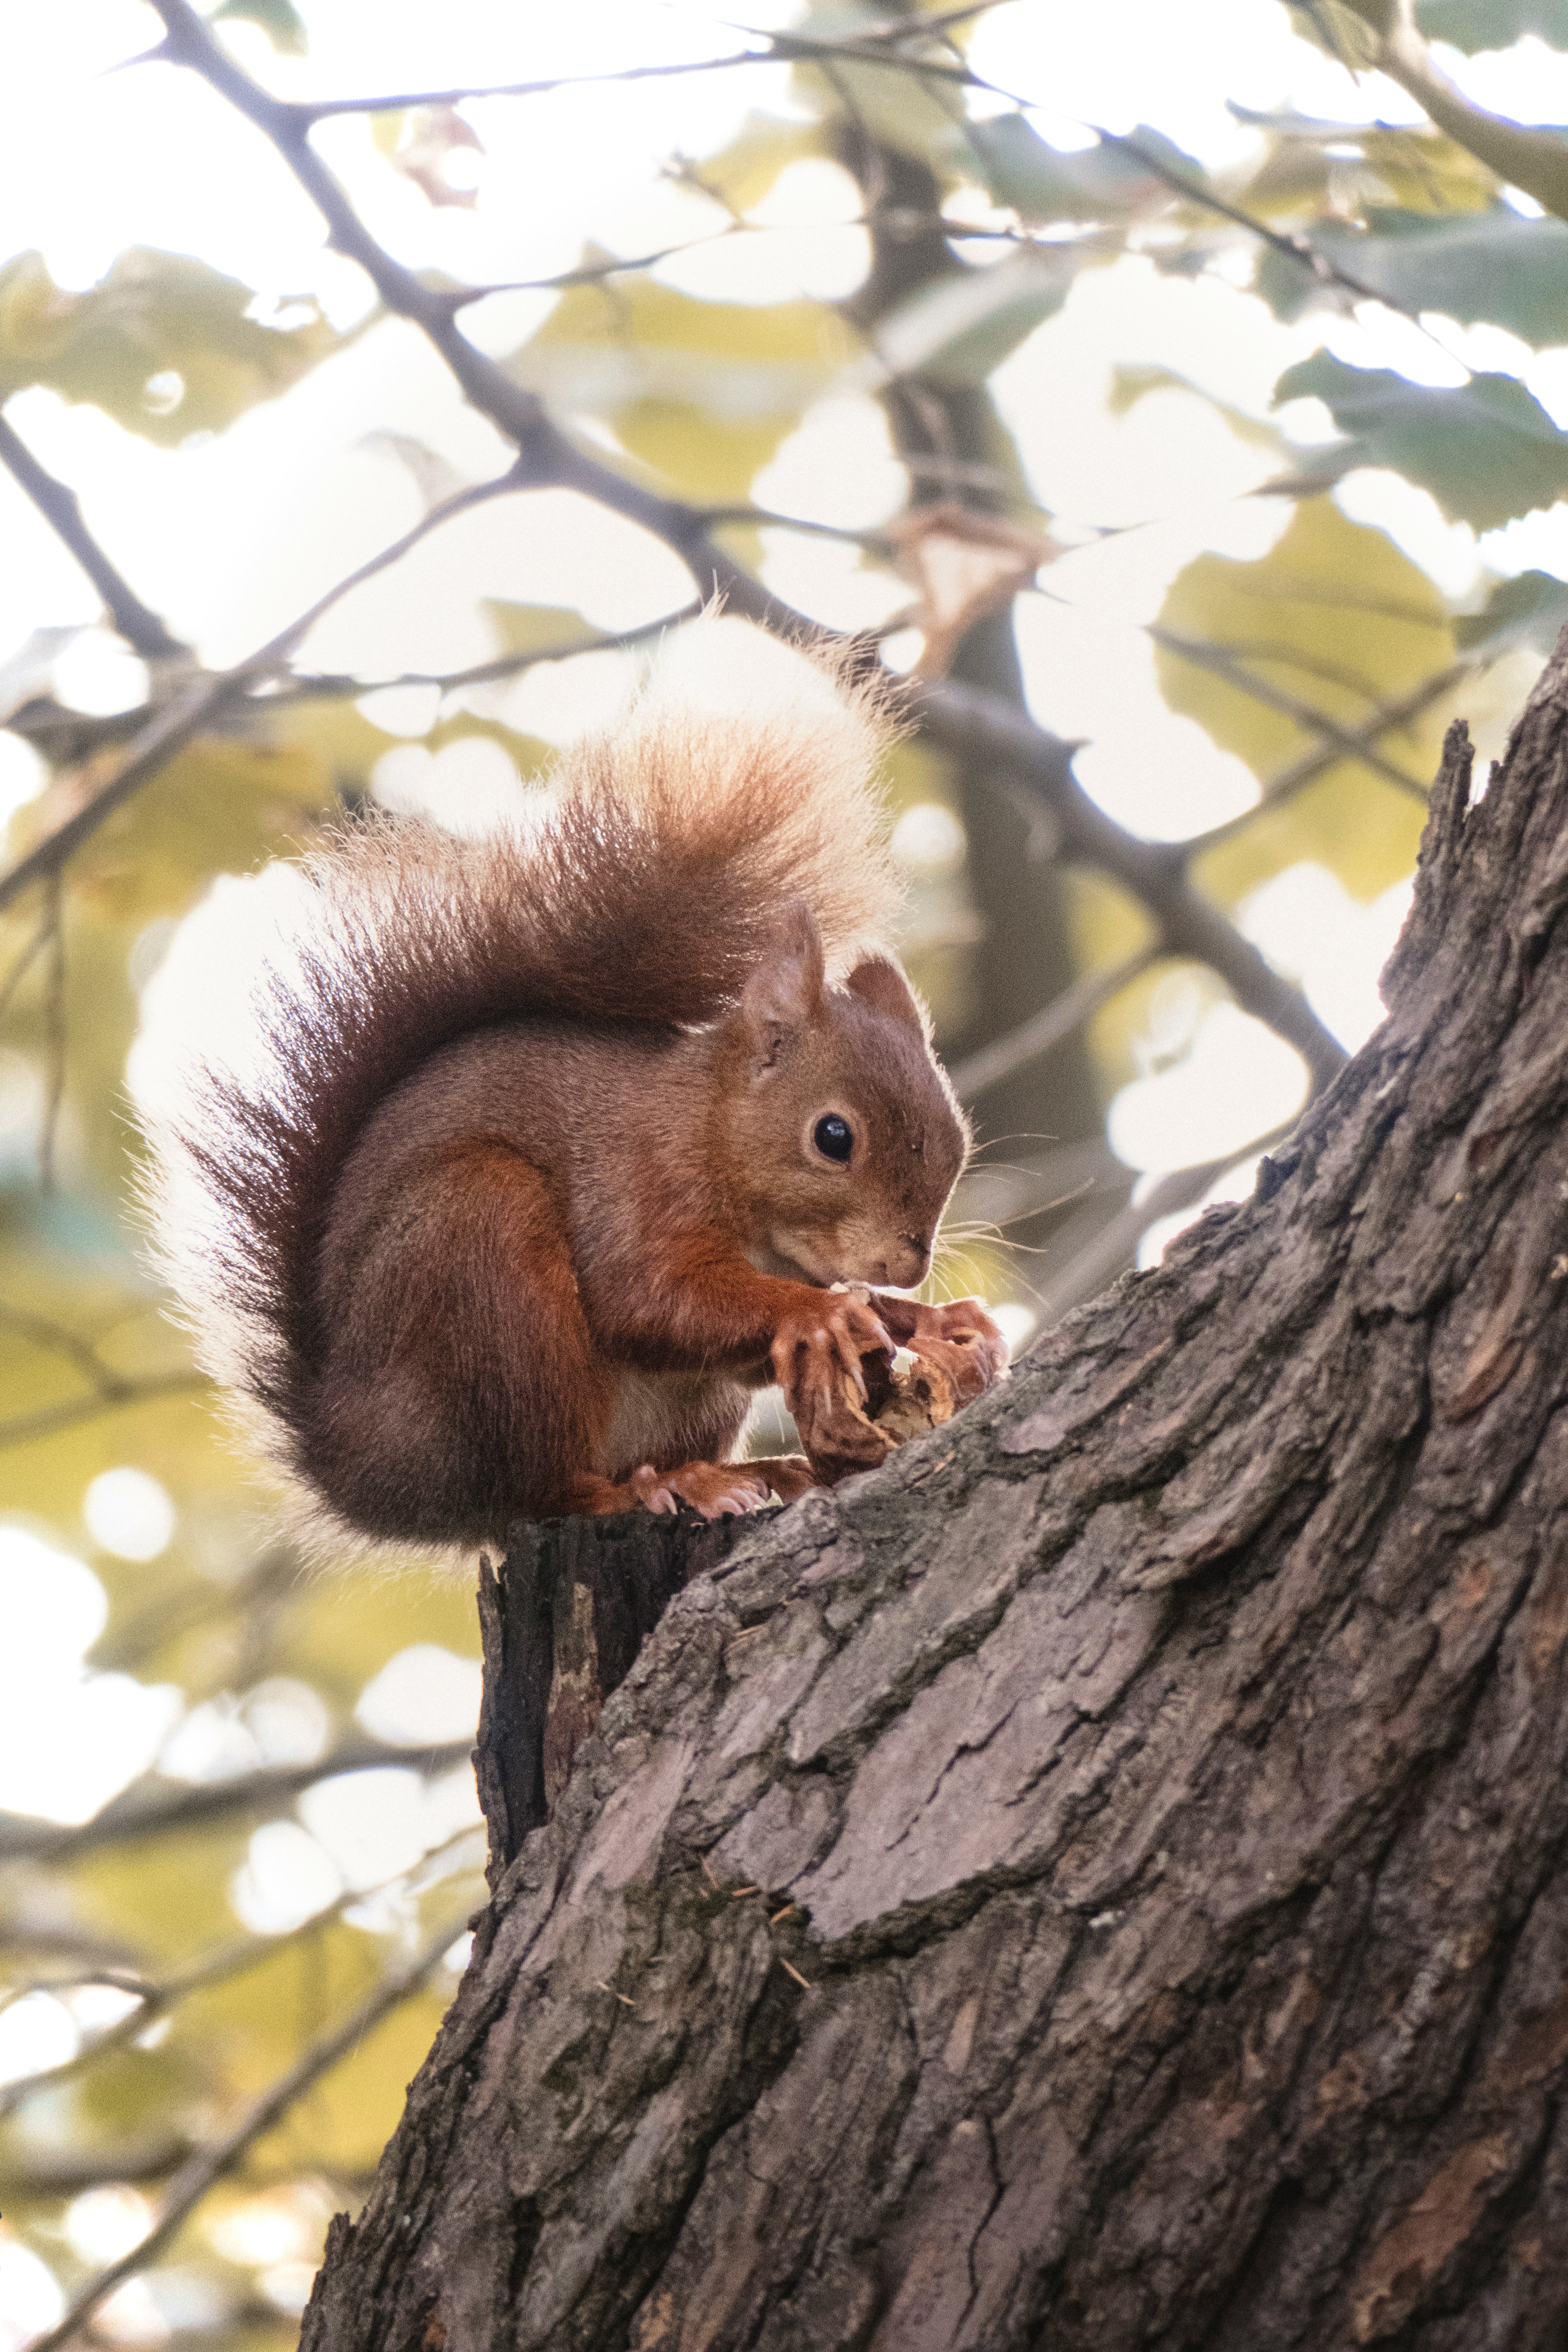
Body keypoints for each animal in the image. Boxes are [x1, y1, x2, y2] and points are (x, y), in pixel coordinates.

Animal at [156, 626, 1006, 1552]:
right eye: (833, 1137)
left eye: (958, 1141)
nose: (909, 1261)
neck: (705, 1128)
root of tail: (370, 1477)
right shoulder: (633, 1184)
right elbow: (651, 1300)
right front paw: (824, 1316)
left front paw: (931, 1325)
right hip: (482, 1264)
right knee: (535, 1487)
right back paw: (636, 1493)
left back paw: (740, 1473)